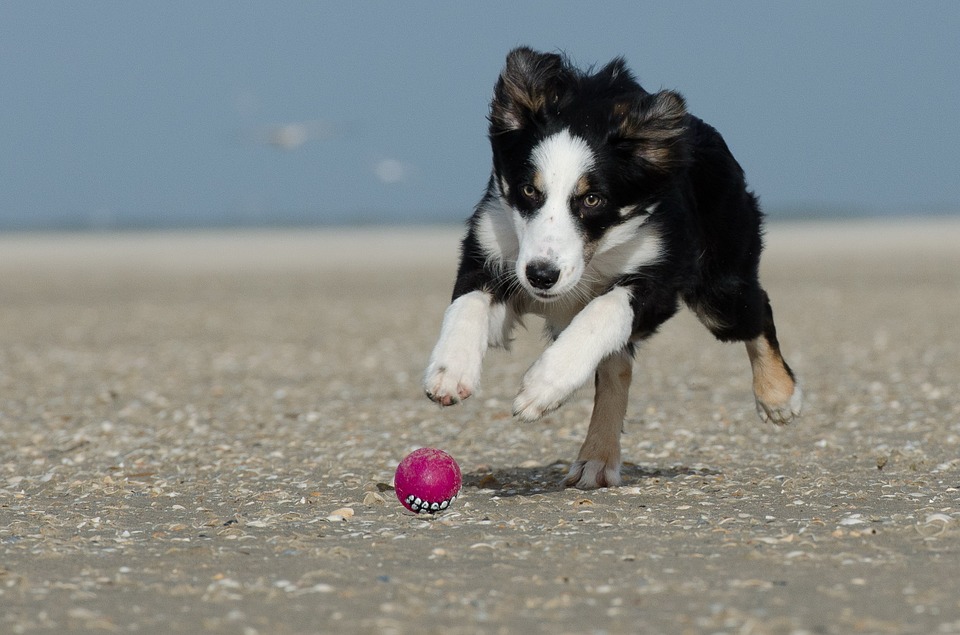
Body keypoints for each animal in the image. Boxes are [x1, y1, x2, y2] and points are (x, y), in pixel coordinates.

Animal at [424, 47, 800, 490]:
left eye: (592, 199)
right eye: (529, 190)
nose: (542, 276)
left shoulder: (659, 276)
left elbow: (602, 311)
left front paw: (542, 387)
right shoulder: (494, 250)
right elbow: (467, 303)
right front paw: (450, 371)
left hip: (720, 289)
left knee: (757, 310)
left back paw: (778, 397)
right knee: (617, 368)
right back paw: (598, 458)